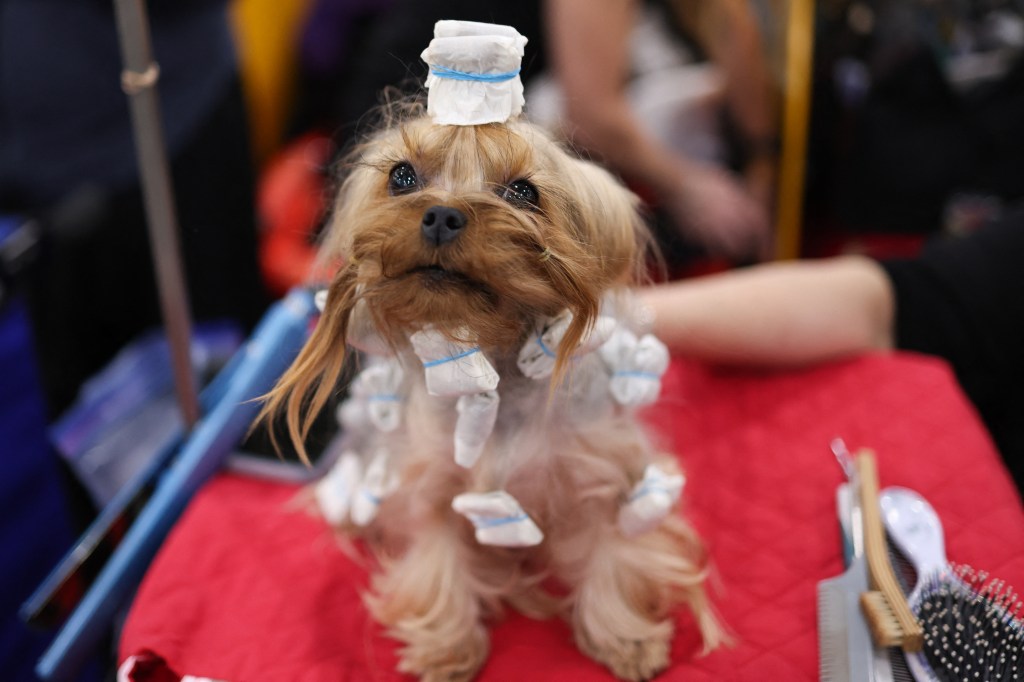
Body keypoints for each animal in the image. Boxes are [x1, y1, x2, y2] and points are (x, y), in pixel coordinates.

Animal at [260, 96, 724, 679]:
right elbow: (439, 559)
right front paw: (446, 645)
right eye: (401, 176)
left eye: (523, 191)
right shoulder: (433, 484)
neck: (491, 358)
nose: (441, 214)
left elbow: (612, 551)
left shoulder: (601, 474)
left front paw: (627, 637)